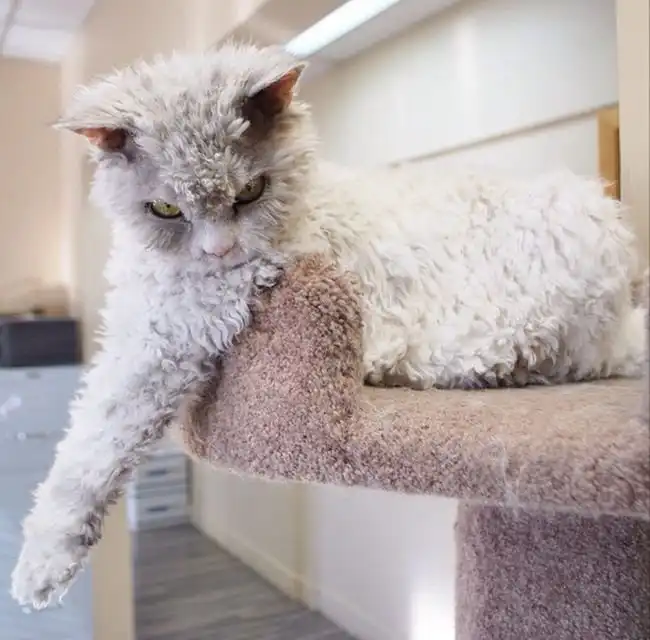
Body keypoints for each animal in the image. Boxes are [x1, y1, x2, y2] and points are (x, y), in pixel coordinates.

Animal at [12, 41, 646, 609]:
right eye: (166, 210)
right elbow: (84, 431)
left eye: (250, 192)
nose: (219, 251)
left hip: (526, 309)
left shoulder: (169, 342)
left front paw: (38, 569)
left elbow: (93, 449)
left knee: (543, 358)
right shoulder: (134, 329)